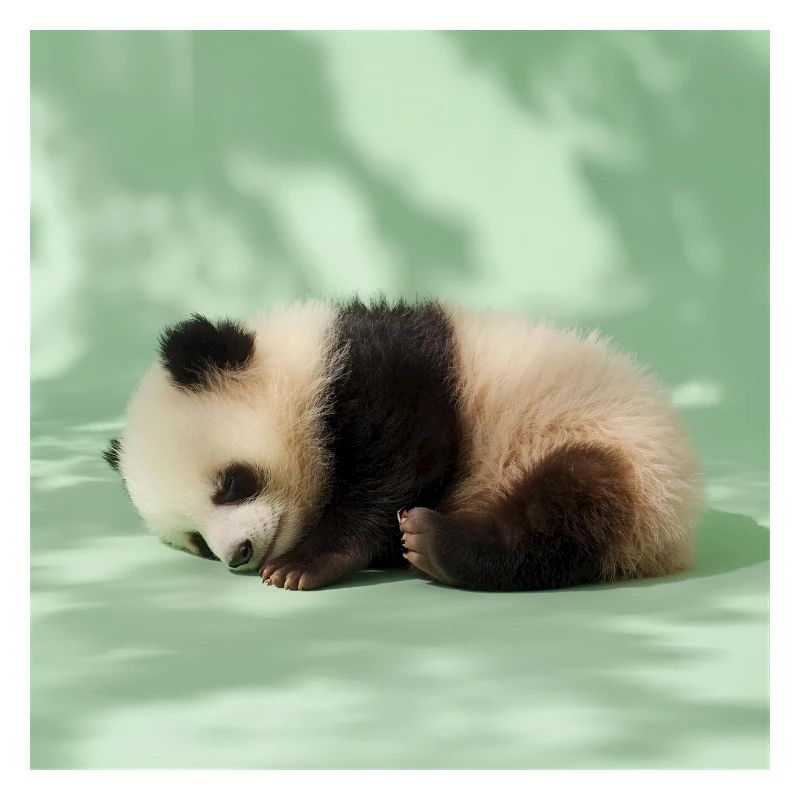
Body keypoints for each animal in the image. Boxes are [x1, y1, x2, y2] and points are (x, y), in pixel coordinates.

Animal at [104, 297, 702, 592]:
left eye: (232, 483)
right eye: (197, 542)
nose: (239, 555)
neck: (305, 363)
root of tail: (675, 540)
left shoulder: (387, 375)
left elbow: (401, 457)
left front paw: (306, 564)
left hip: (620, 447)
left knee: (573, 501)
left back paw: (441, 545)